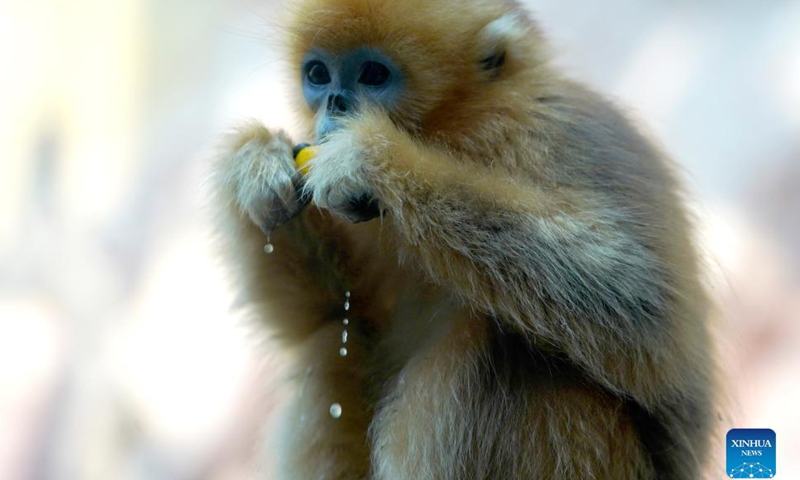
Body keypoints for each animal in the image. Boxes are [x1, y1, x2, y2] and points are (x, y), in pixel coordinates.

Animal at [209, 0, 716, 478]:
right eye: (318, 74)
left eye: (373, 75)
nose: (334, 104)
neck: (462, 132)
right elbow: (330, 313)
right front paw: (256, 163)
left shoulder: (561, 131)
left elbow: (643, 306)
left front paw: (372, 162)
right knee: (332, 340)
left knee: (505, 341)